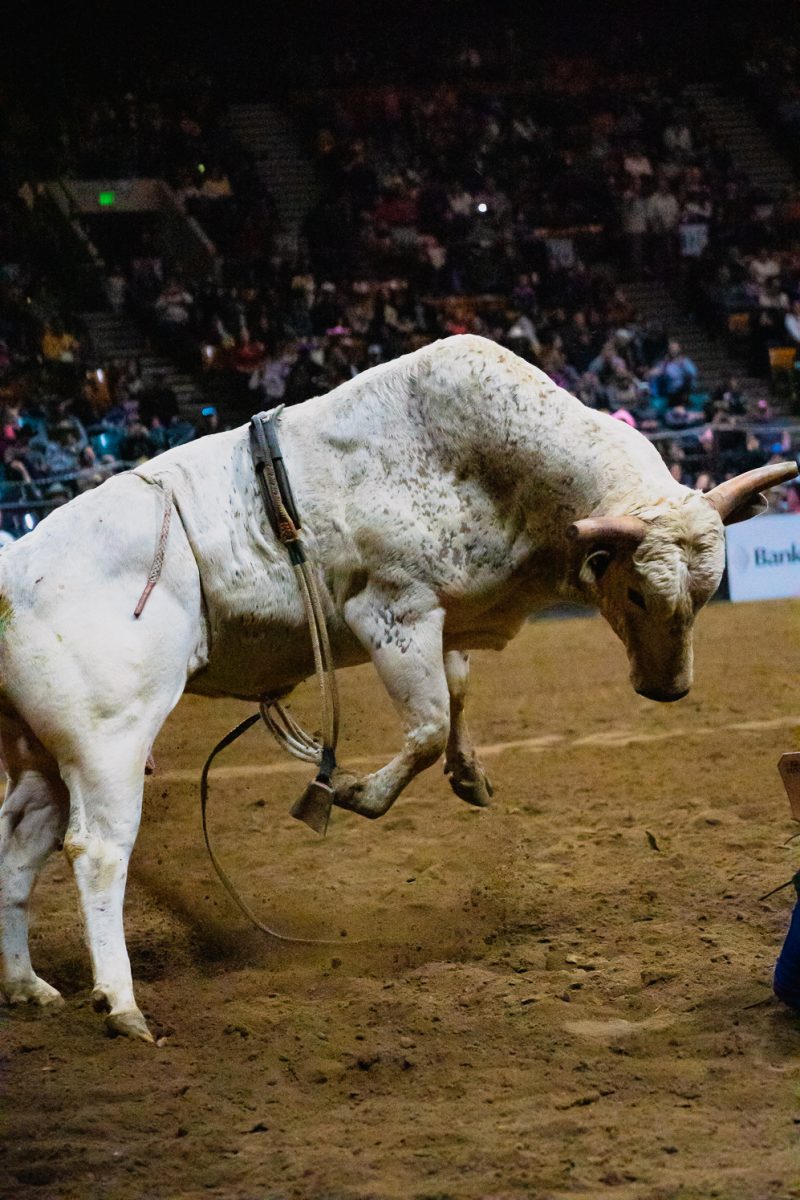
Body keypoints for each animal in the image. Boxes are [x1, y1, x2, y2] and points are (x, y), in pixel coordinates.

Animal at [0, 338, 796, 1041]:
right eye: (635, 591)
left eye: (707, 591)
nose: (668, 690)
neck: (496, 470)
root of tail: (16, 572)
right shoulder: (393, 612)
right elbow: (427, 726)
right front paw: (348, 791)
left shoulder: (444, 618)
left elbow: (457, 696)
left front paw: (469, 775)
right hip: (109, 738)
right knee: (97, 850)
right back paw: (121, 1004)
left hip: (44, 751)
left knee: (18, 846)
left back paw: (27, 985)